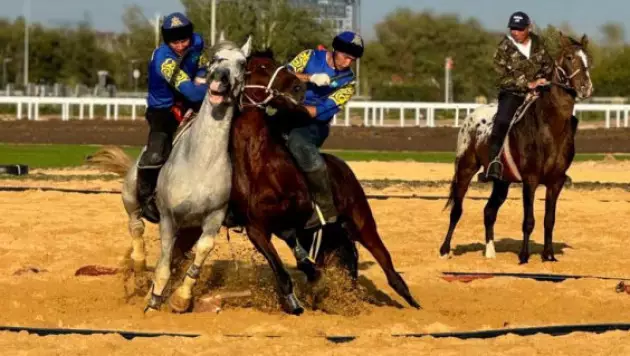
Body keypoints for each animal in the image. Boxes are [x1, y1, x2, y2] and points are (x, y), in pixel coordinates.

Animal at [230, 50, 422, 314]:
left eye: (276, 64)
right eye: (262, 67)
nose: (298, 87)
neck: (259, 162)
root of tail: (342, 166)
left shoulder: (300, 213)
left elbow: (293, 238)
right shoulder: (255, 228)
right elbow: (281, 269)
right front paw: (297, 302)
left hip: (361, 222)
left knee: (386, 262)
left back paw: (411, 301)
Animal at [442, 33, 596, 264]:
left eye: (587, 58)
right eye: (569, 57)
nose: (586, 88)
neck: (550, 126)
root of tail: (471, 116)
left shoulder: (556, 182)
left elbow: (549, 220)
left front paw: (548, 256)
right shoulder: (530, 180)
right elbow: (529, 220)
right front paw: (524, 256)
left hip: (501, 182)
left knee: (489, 211)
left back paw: (490, 252)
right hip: (465, 169)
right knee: (457, 210)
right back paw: (444, 249)